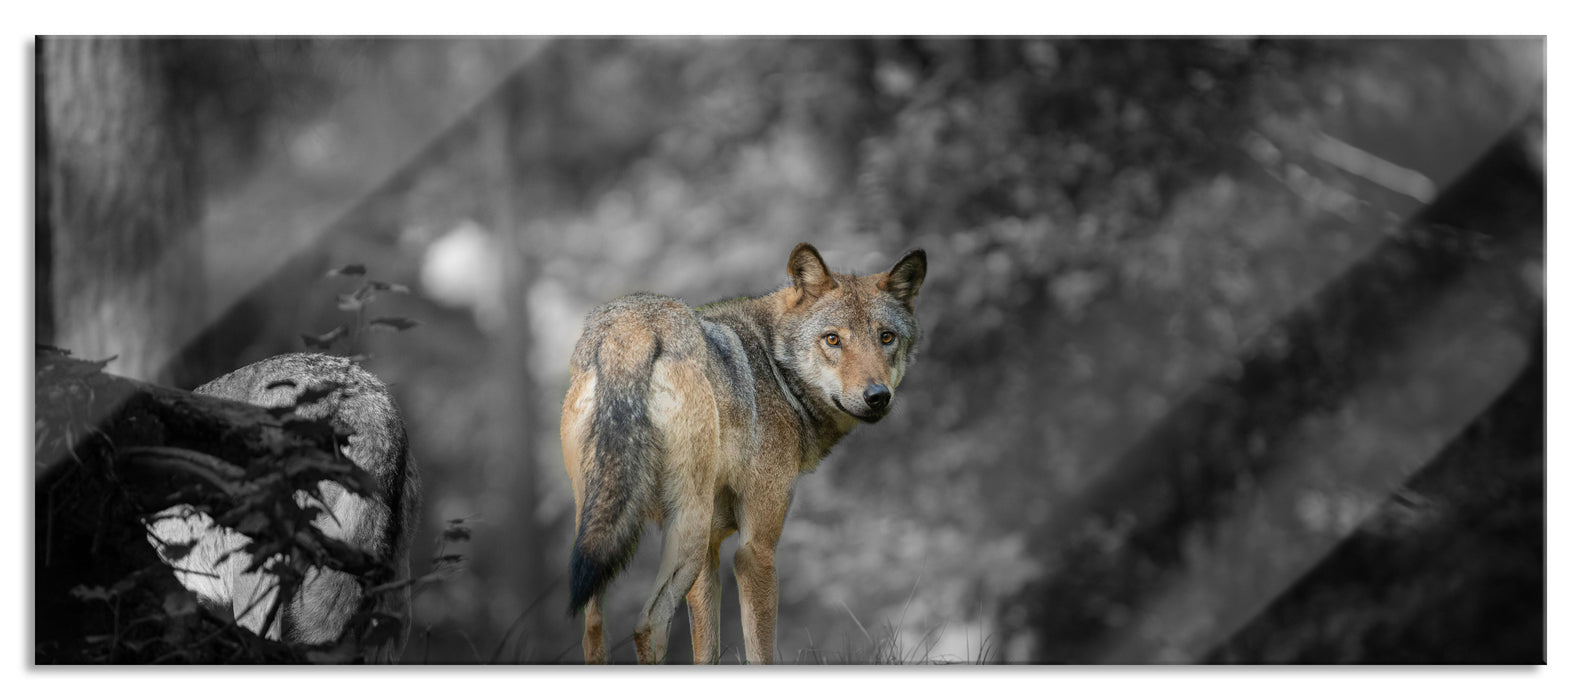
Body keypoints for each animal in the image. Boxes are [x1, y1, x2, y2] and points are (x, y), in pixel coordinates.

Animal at [563, 240, 923, 661]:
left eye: (886, 337)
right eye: (833, 339)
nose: (877, 396)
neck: (777, 369)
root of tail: (633, 327)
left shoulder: (710, 554)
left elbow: (706, 651)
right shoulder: (755, 549)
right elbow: (760, 651)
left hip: (602, 537)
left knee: (593, 628)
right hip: (686, 532)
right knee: (646, 624)